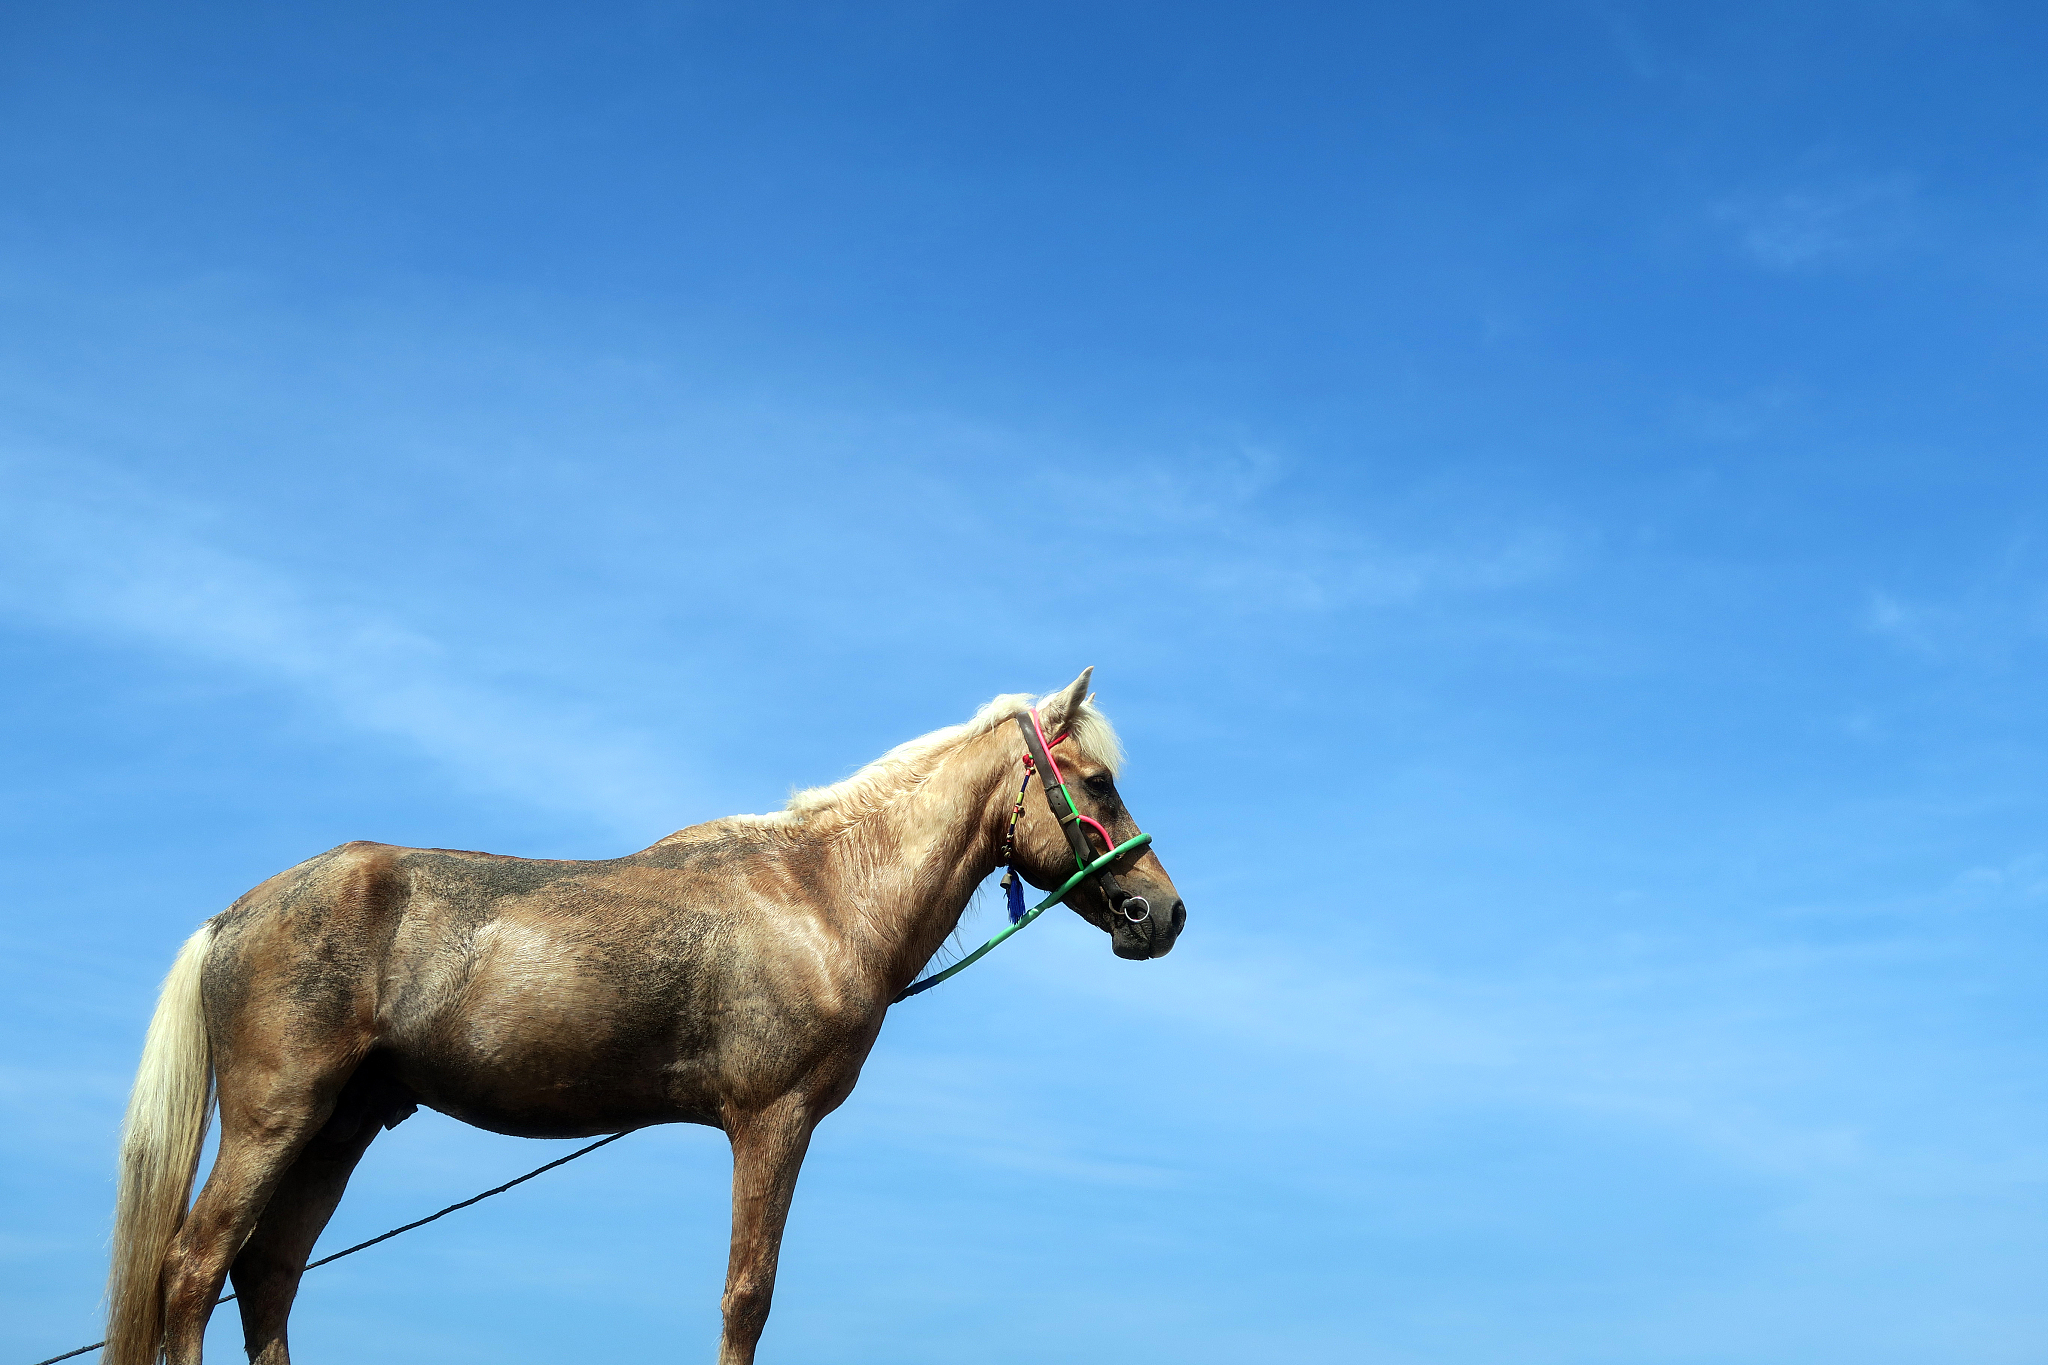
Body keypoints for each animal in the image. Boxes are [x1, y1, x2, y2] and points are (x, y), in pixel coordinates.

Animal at [103, 669, 1185, 1365]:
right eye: (1095, 780)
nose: (1160, 912)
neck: (822, 892)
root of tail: (234, 915)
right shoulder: (773, 1120)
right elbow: (746, 1297)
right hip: (275, 1117)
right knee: (195, 1268)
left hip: (340, 1126)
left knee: (267, 1276)